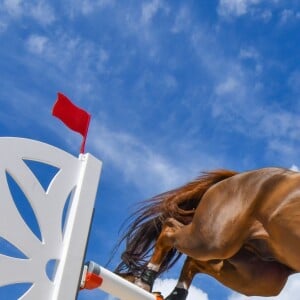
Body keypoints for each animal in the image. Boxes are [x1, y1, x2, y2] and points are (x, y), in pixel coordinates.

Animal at [114, 168, 298, 298]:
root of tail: (236, 176)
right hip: (212, 240)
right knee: (169, 228)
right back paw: (144, 282)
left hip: (262, 276)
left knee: (195, 261)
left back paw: (174, 295)